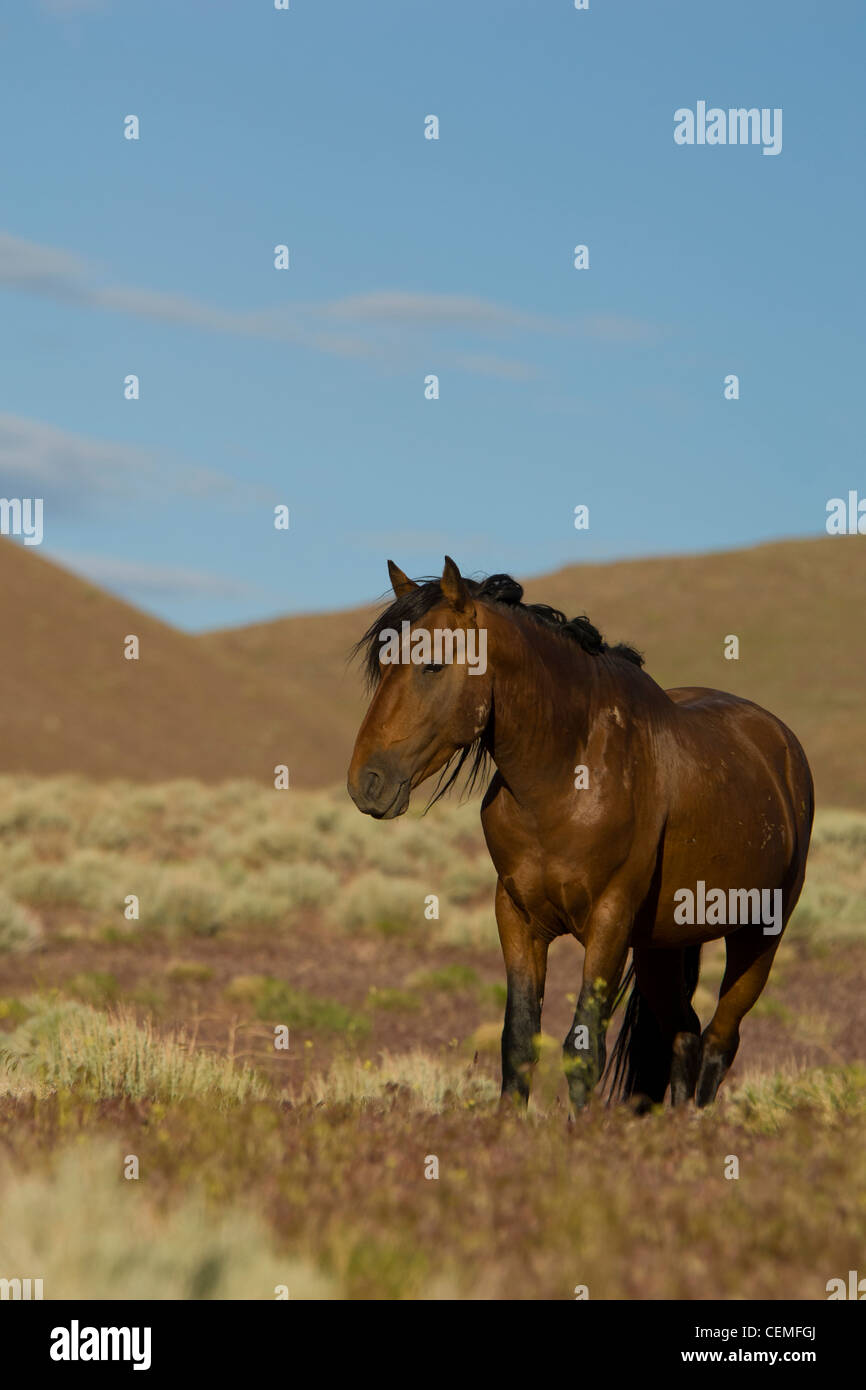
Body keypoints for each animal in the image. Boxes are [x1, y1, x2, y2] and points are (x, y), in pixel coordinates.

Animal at [347, 557, 814, 1113]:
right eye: (384, 666)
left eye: (432, 666)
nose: (366, 782)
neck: (567, 778)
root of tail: (780, 745)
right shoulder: (518, 918)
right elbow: (518, 1041)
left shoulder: (608, 922)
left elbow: (583, 1047)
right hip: (661, 945)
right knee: (684, 1034)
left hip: (758, 937)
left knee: (720, 1042)